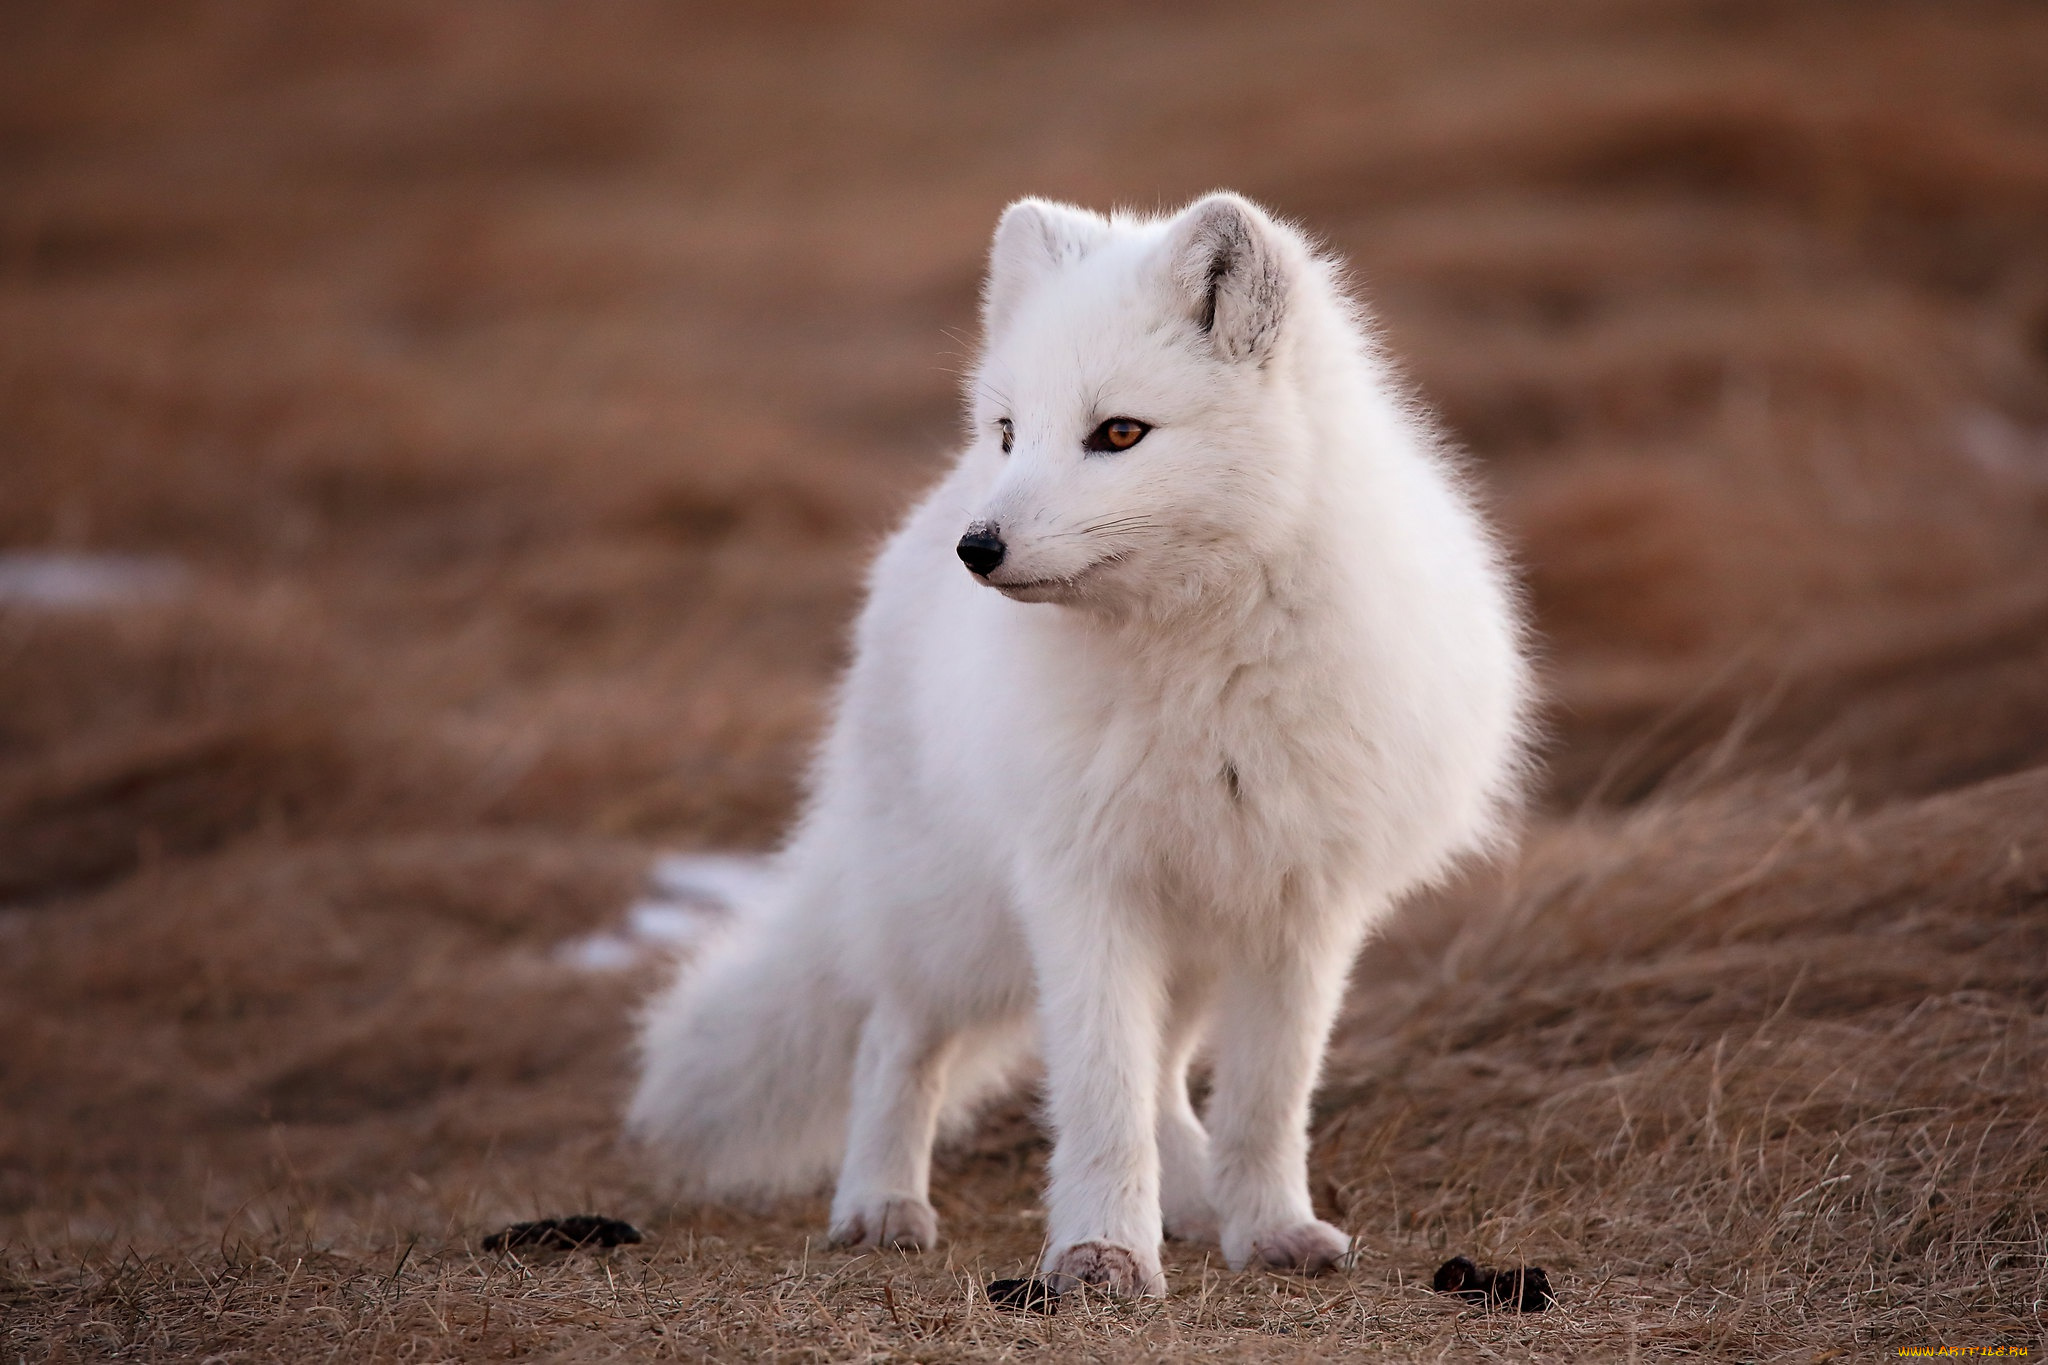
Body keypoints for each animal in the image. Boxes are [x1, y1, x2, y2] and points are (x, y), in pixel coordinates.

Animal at [630, 189, 1531, 1293]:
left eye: (1118, 432)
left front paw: (1269, 1227)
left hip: (1188, 935)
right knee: (897, 1037)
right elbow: (1099, 1091)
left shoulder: (1302, 906)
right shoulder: (1082, 883)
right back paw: (880, 1203)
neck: (1200, 666)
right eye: (1013, 430)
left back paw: (1197, 1200)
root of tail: (932, 507)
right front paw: (1101, 1251)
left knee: (1167, 1075)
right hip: (956, 919)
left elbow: (1265, 1099)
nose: (979, 549)